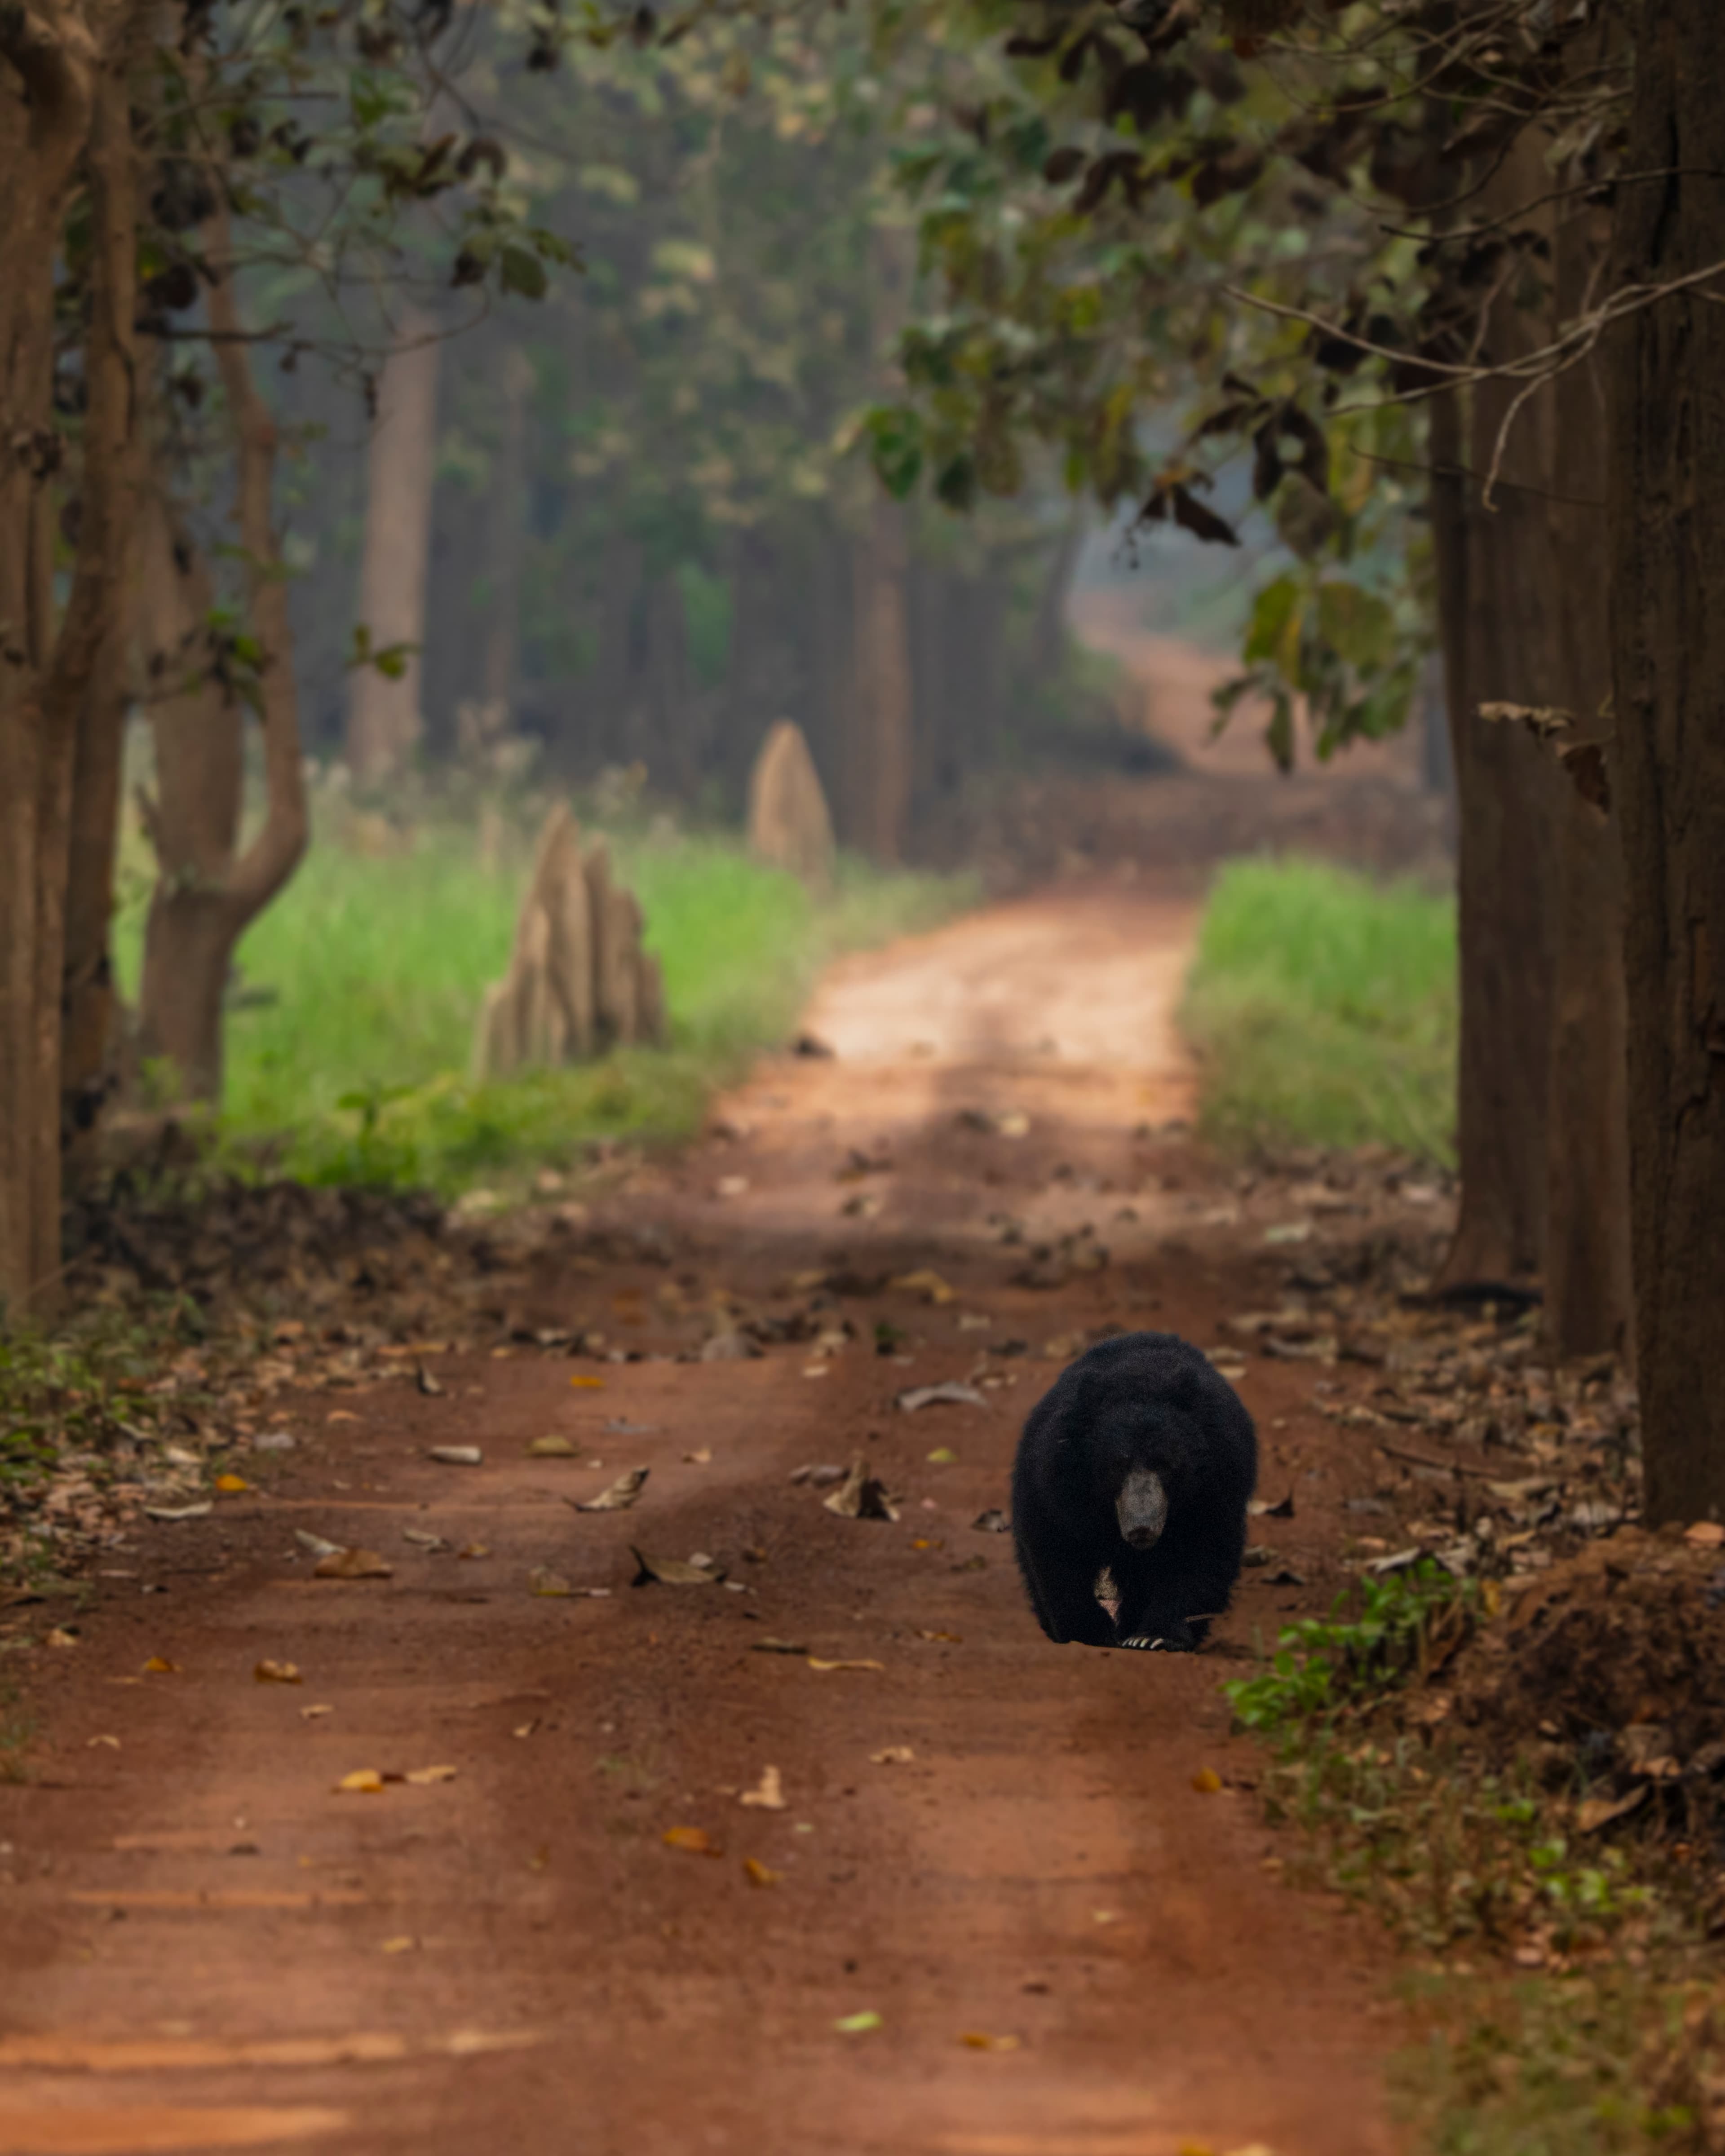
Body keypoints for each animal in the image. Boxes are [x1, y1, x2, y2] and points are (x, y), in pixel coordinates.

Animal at [1011, 1331, 1257, 1651]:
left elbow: (1201, 1554)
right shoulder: (1056, 1485)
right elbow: (1058, 1551)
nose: (1142, 1528)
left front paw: (1153, 1637)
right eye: (1117, 1465)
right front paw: (1090, 1633)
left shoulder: (1219, 1483)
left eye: (1167, 1464)